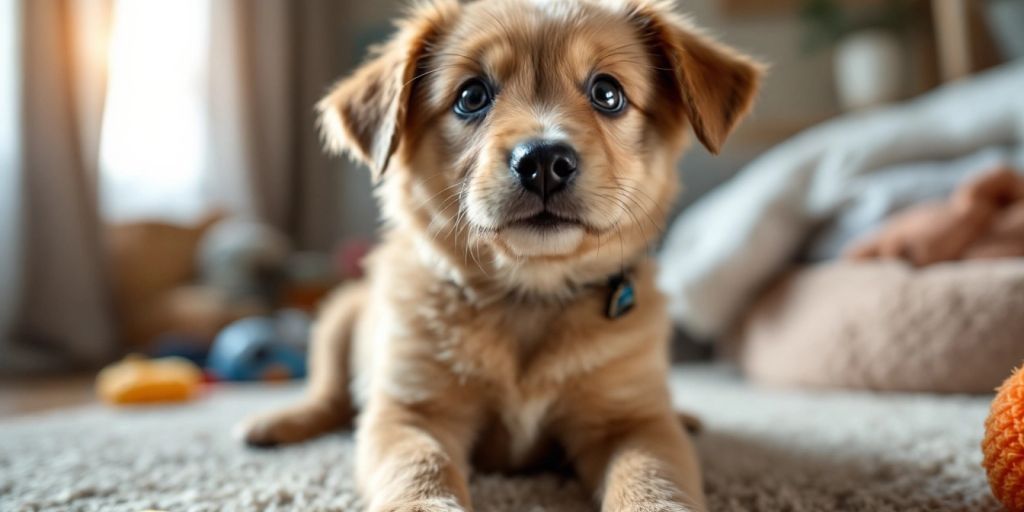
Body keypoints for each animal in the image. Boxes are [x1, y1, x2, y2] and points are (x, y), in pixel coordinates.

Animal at [235, 2, 757, 509]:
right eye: (471, 96)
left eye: (608, 93)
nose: (543, 161)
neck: (528, 295)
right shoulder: (410, 412)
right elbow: (420, 469)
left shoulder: (632, 421)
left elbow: (652, 480)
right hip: (339, 317)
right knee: (327, 395)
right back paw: (275, 423)